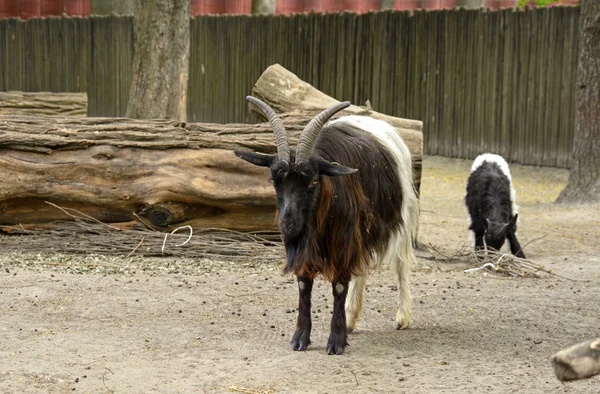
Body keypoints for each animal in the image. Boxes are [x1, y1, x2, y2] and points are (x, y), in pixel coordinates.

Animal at [232, 97, 420, 356]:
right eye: (274, 180)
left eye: (313, 181)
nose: (288, 224)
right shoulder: (305, 246)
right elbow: (304, 286)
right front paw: (300, 338)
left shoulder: (343, 240)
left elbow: (339, 286)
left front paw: (336, 341)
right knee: (362, 268)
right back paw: (351, 318)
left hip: (402, 216)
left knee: (401, 264)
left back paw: (402, 317)